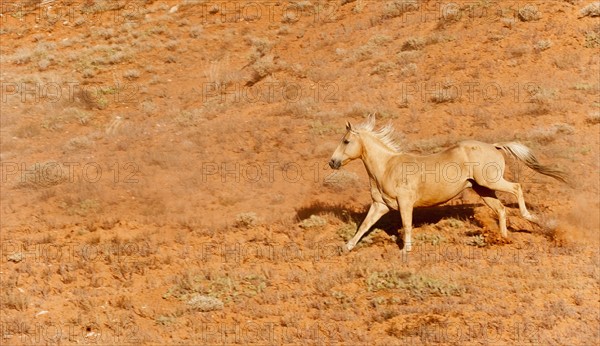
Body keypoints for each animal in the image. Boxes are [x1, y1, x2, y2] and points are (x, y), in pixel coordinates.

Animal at [328, 115, 568, 253]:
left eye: (346, 141)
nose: (332, 162)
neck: (387, 167)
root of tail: (494, 146)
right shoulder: (380, 205)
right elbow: (364, 226)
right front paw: (346, 247)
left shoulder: (405, 203)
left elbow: (406, 224)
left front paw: (406, 251)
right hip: (483, 189)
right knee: (501, 209)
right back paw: (503, 239)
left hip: (491, 181)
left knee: (516, 188)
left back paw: (530, 219)